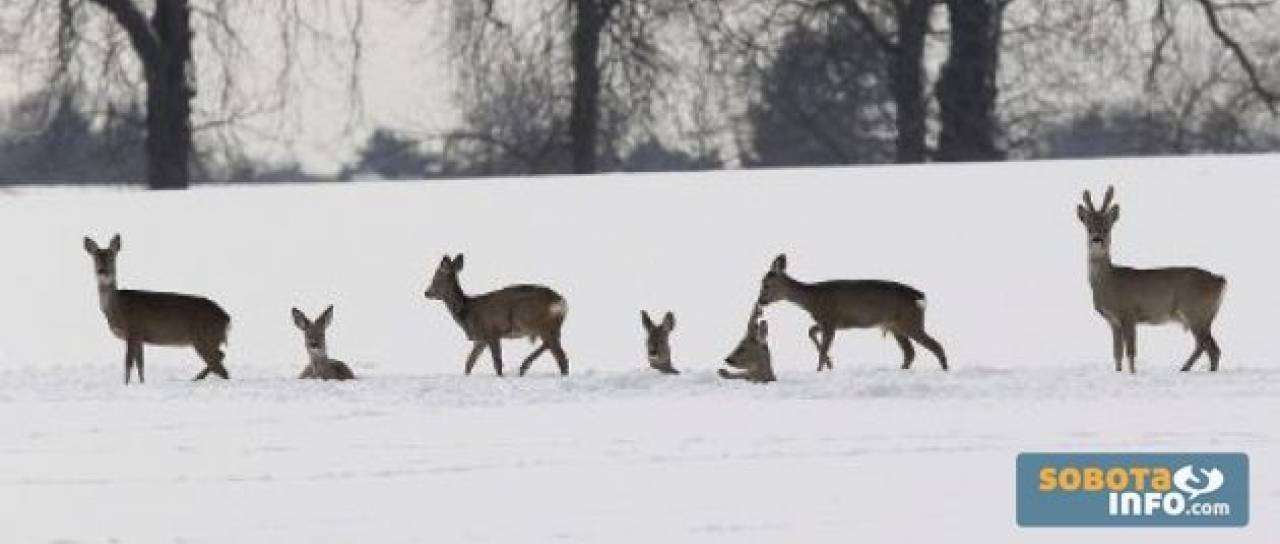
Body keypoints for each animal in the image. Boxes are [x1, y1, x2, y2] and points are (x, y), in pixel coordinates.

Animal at [83, 234, 231, 385]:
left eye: (112, 256)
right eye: (95, 257)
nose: (102, 271)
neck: (117, 307)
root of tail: (226, 318)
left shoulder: (133, 329)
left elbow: (128, 363)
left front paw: (126, 384)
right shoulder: (140, 337)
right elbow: (140, 364)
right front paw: (142, 383)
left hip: (205, 337)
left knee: (220, 365)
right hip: (209, 339)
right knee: (220, 358)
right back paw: (196, 378)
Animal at [423, 254, 570, 376]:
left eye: (436, 278)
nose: (426, 292)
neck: (467, 311)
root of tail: (560, 301)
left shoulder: (491, 332)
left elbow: (497, 363)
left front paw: (500, 377)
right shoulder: (480, 340)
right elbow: (469, 363)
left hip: (532, 320)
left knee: (559, 355)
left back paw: (525, 366)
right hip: (551, 325)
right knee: (555, 348)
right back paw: (525, 366)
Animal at [756, 254, 947, 372]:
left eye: (766, 284)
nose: (760, 301)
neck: (812, 299)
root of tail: (920, 296)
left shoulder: (830, 320)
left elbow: (823, 348)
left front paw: (821, 369)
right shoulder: (828, 322)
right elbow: (810, 331)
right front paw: (830, 364)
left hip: (910, 321)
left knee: (935, 346)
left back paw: (945, 370)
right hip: (896, 326)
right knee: (909, 352)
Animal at [1076, 186, 1227, 373]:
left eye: (1107, 228)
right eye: (1089, 227)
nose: (1097, 239)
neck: (1108, 282)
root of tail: (1220, 280)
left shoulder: (1129, 313)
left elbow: (1131, 352)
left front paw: (1133, 374)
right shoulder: (1114, 321)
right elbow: (1116, 354)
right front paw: (1118, 373)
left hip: (1196, 311)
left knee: (1211, 348)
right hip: (1201, 316)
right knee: (1207, 347)